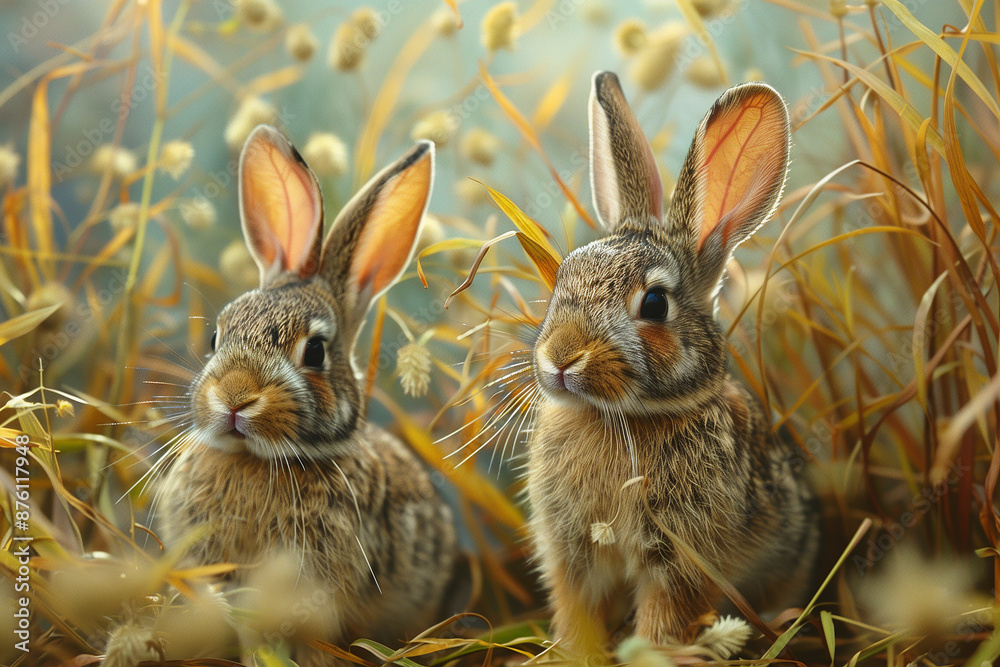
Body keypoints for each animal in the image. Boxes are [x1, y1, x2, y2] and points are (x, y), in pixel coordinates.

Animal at [526, 71, 820, 660]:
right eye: (562, 276)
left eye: (655, 304)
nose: (561, 357)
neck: (623, 418)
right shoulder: (568, 551)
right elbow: (576, 608)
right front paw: (573, 653)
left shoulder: (681, 558)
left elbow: (665, 615)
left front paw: (655, 654)